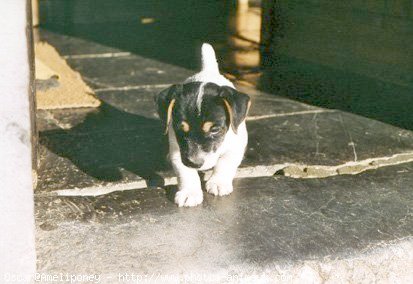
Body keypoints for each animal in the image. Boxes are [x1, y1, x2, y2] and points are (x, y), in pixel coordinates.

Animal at [155, 42, 249, 206]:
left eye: (215, 129)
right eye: (180, 128)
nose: (195, 163)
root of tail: (208, 71)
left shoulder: (237, 144)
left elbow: (225, 163)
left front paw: (218, 183)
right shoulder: (178, 151)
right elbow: (185, 172)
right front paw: (189, 192)